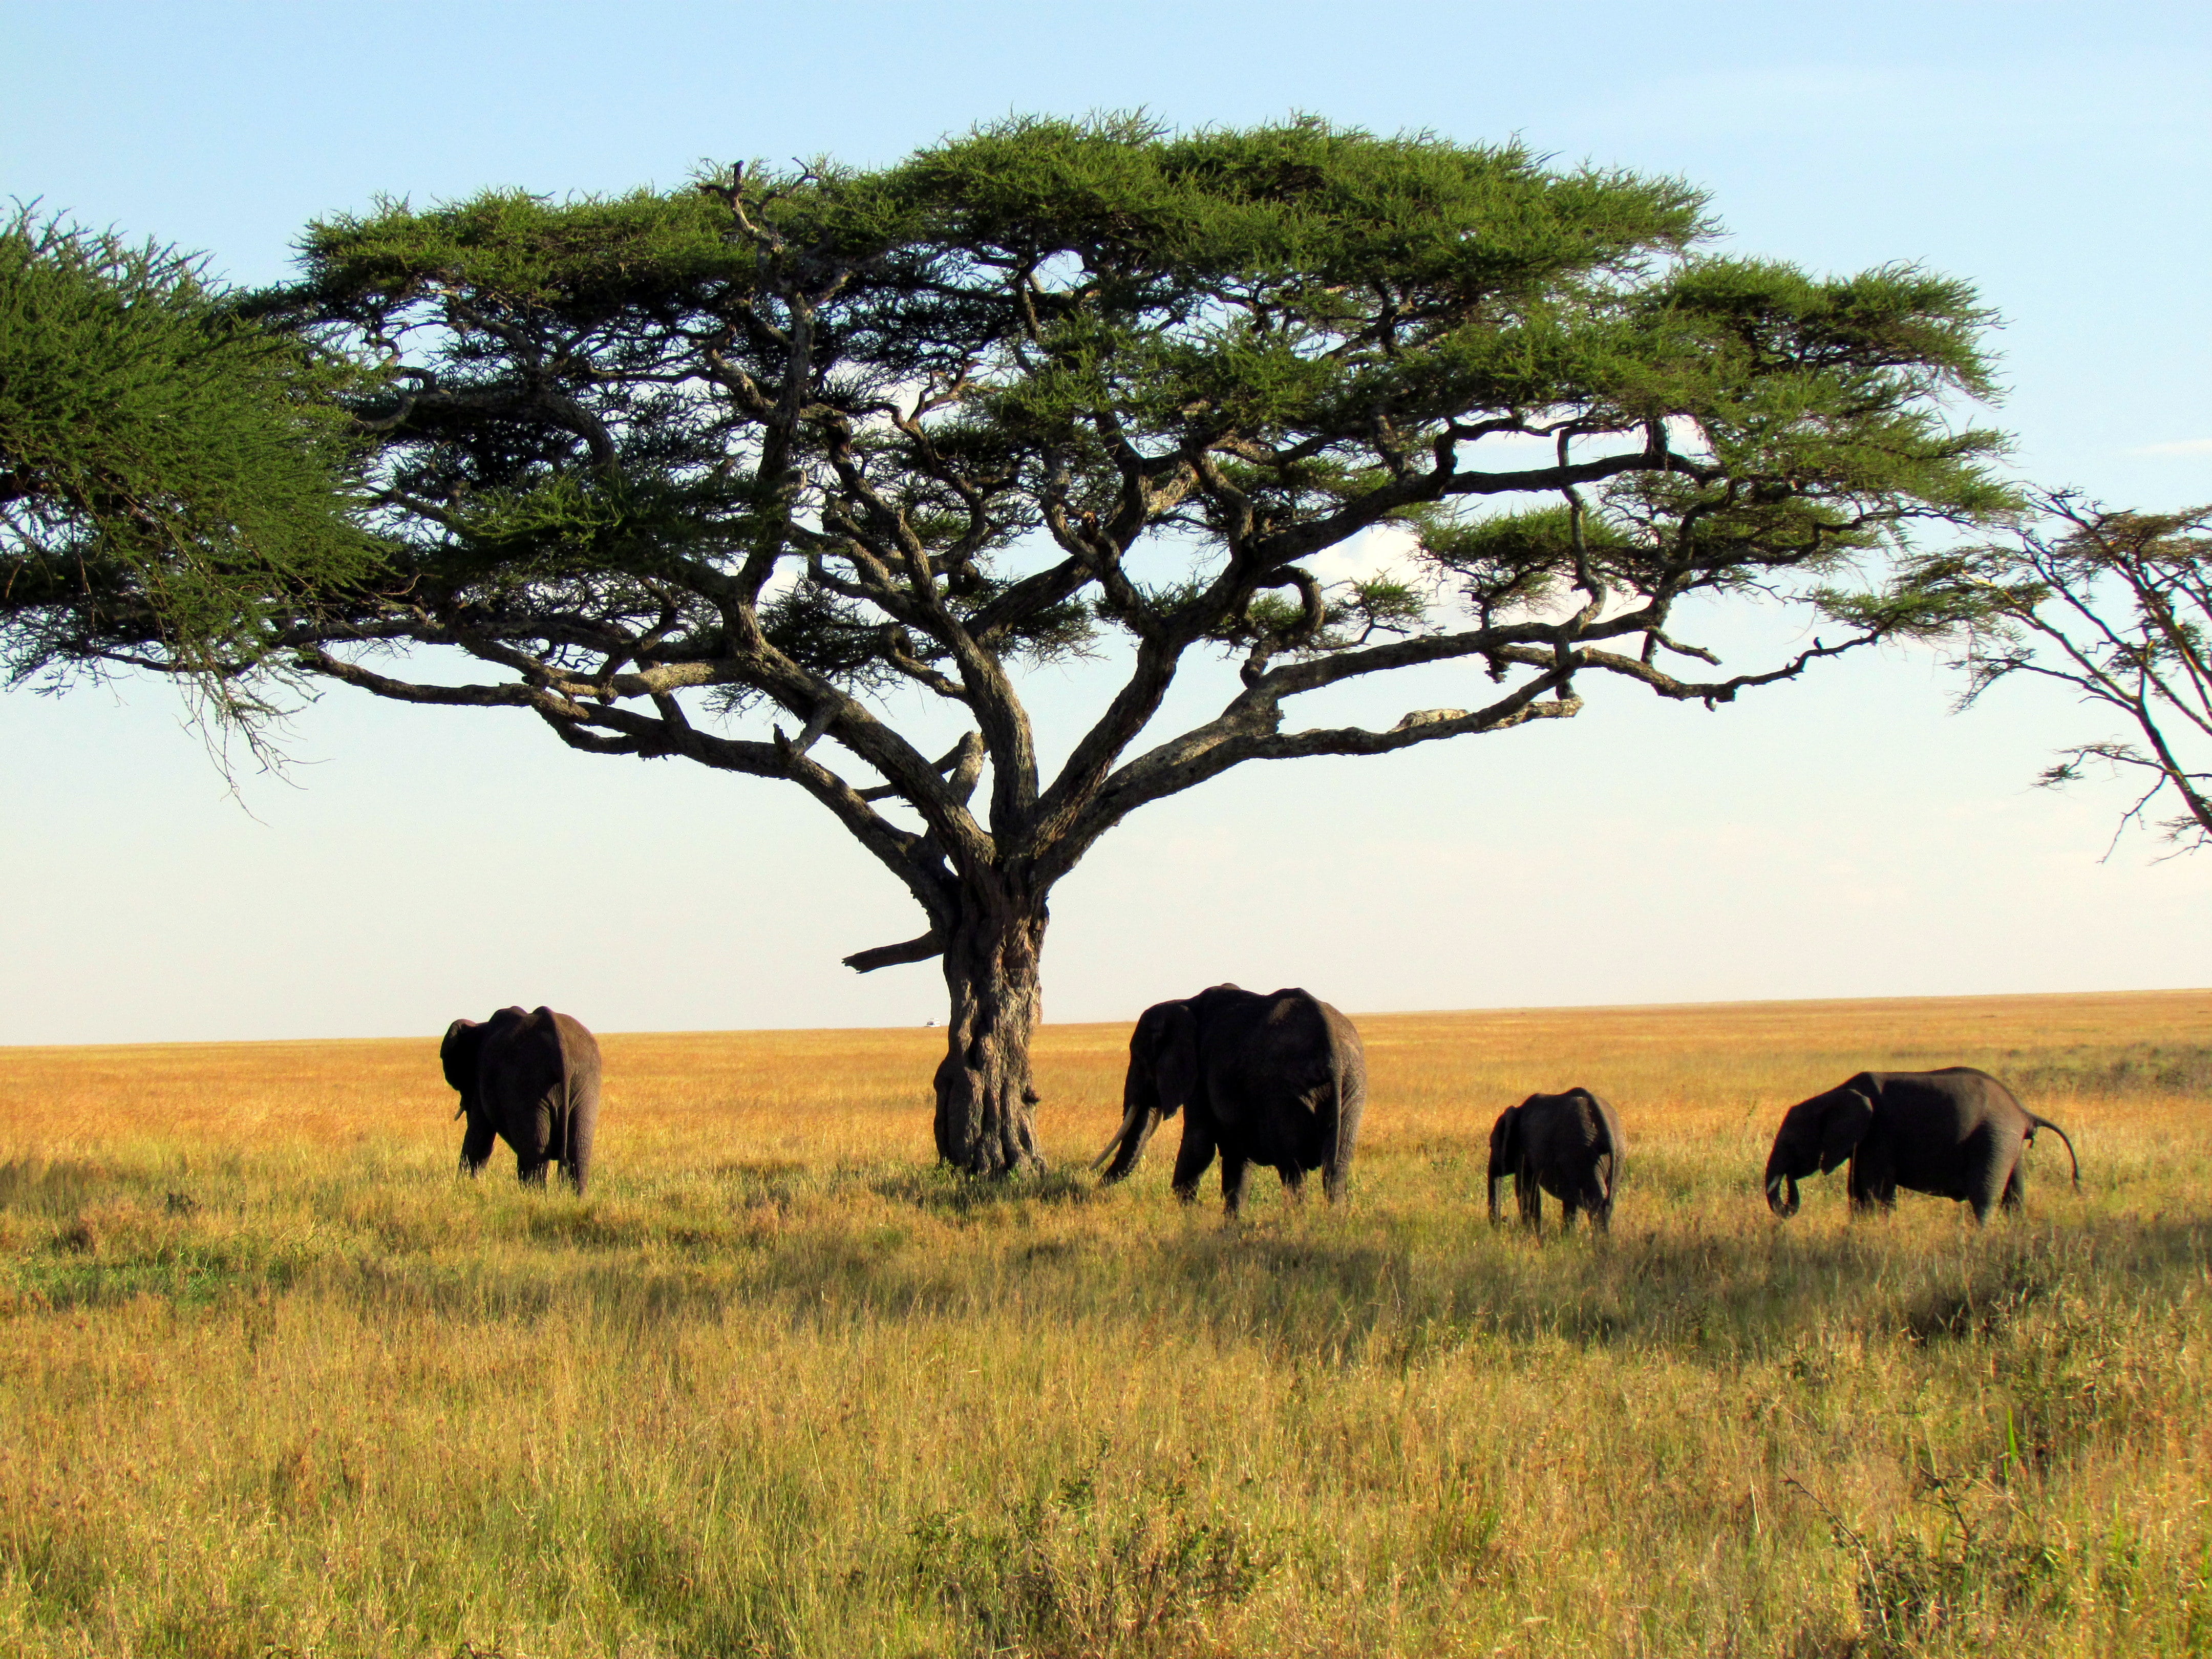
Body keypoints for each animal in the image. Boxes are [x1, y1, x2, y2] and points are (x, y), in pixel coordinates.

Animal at [442, 999, 606, 1194]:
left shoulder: (481, 1077)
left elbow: (479, 1135)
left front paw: (462, 1185)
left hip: (527, 1083)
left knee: (536, 1149)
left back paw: (534, 1195)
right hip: (585, 1082)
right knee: (578, 1147)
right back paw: (574, 1197)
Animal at [1088, 986, 1363, 1221]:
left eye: (1139, 1058)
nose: (1092, 1184)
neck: (1184, 1004)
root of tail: (1332, 1048)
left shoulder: (1201, 1073)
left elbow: (1199, 1143)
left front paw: (1191, 1214)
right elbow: (1235, 1152)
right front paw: (1230, 1221)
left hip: (1286, 1091)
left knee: (1293, 1168)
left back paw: (1295, 1224)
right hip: (1353, 1087)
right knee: (1337, 1166)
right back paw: (1334, 1221)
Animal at [1486, 1093, 1628, 1239]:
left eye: (1491, 1145)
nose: (1504, 1220)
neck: (1518, 1110)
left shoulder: (1523, 1149)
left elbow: (1525, 1189)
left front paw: (1532, 1237)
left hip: (1581, 1154)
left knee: (1592, 1197)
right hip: (1616, 1156)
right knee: (1603, 1199)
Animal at [1760, 1070, 2070, 1229]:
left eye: (1790, 1144)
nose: (1789, 1181)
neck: (1833, 1095)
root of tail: (2024, 1112)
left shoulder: (1879, 1132)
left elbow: (1876, 1190)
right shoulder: (1864, 1141)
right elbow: (1858, 1190)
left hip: (1994, 1135)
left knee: (1984, 1196)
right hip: (2008, 1141)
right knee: (2015, 1194)